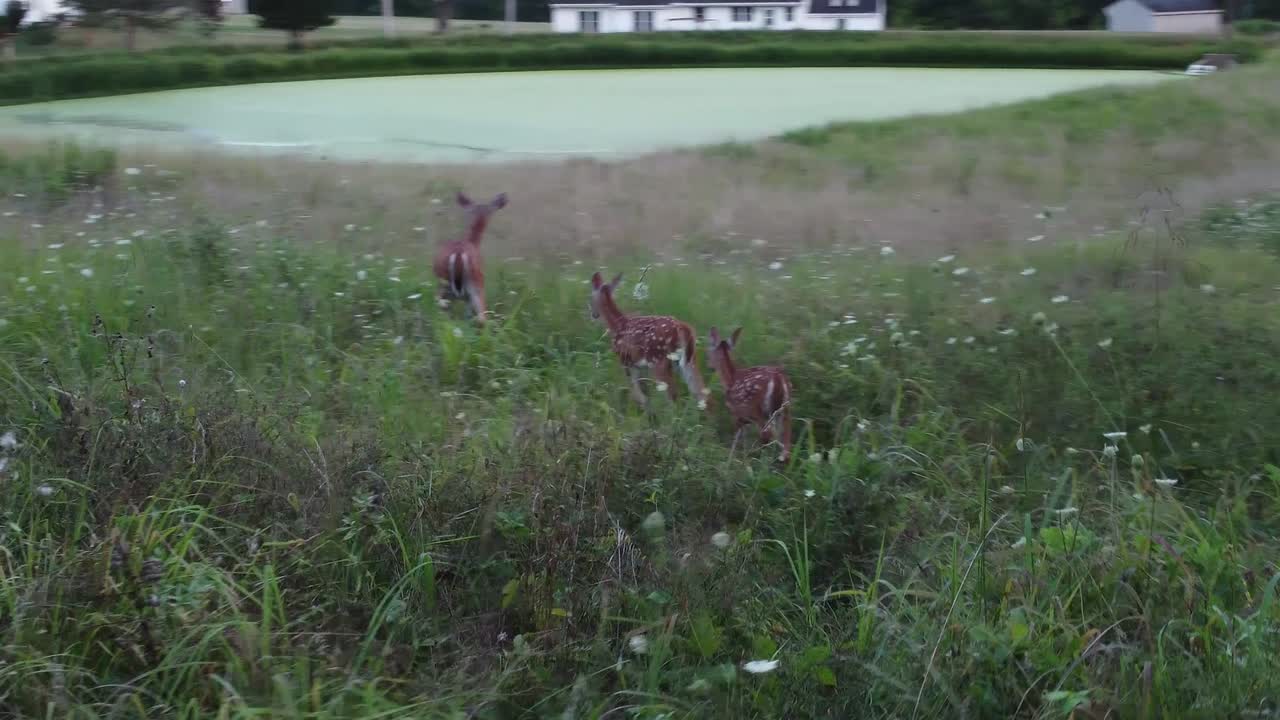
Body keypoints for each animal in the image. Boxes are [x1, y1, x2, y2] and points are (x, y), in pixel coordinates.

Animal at [432, 191, 507, 324]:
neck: (473, 242)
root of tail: (458, 255)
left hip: (444, 284)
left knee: (440, 307)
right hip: (477, 284)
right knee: (482, 318)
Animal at [589, 271, 709, 410]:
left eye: (590, 299)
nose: (593, 315)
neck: (617, 324)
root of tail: (683, 327)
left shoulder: (625, 360)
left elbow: (637, 392)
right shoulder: (640, 366)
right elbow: (644, 391)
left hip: (658, 360)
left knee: (673, 395)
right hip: (689, 360)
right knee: (701, 393)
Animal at [706, 327, 793, 463]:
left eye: (708, 351)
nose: (709, 366)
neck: (730, 378)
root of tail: (778, 379)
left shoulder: (737, 413)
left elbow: (737, 439)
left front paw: (732, 461)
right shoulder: (744, 419)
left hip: (756, 409)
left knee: (767, 434)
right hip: (786, 409)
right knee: (786, 445)